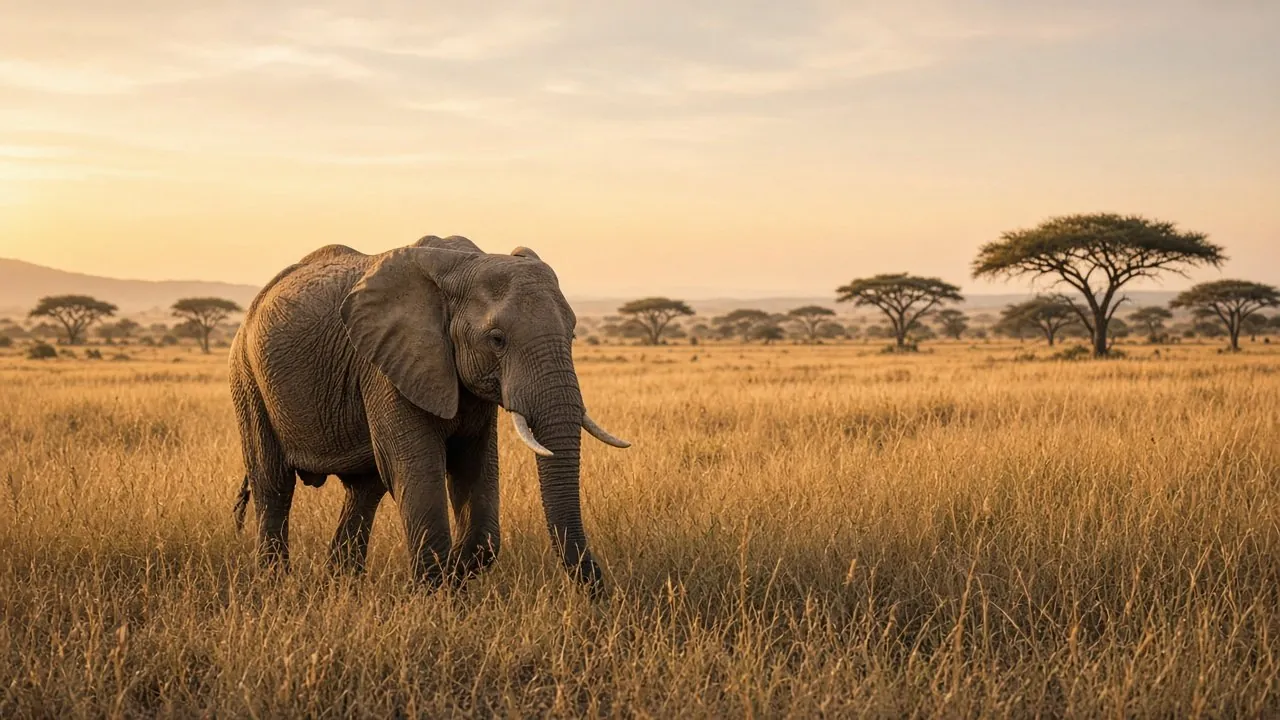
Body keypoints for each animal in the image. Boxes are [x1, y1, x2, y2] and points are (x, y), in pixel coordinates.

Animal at [228, 235, 629, 594]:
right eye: (497, 339)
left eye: (573, 333)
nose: (600, 596)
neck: (464, 265)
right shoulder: (387, 365)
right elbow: (417, 471)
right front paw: (432, 600)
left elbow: (475, 475)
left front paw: (452, 585)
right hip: (247, 378)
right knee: (273, 485)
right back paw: (276, 588)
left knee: (364, 491)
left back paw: (341, 588)